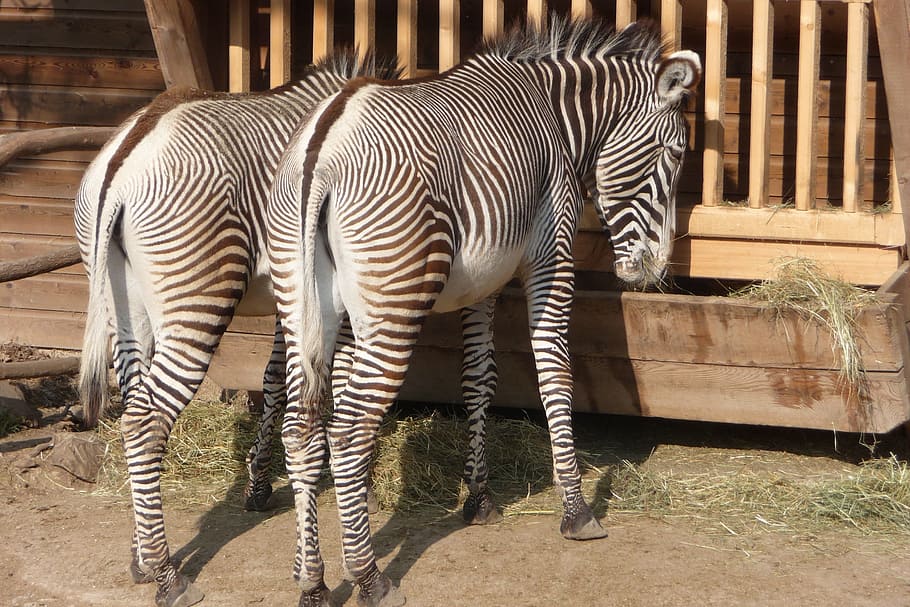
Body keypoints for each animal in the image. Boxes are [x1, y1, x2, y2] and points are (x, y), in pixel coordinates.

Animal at [74, 51, 400, 607]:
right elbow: (315, 388)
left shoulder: (291, 302)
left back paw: (141, 560)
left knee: (134, 408)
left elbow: (274, 383)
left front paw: (258, 484)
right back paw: (169, 578)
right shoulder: (316, 300)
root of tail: (124, 160)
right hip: (195, 299)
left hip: (124, 307)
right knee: (145, 421)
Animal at [268, 17, 701, 607]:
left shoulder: (481, 284)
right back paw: (370, 576)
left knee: (302, 429)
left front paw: (479, 498)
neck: (559, 119)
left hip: (306, 309)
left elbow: (479, 379)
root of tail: (322, 145)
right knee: (349, 431)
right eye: (676, 155)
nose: (652, 270)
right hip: (392, 305)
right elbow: (554, 373)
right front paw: (576, 510)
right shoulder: (550, 256)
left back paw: (311, 579)